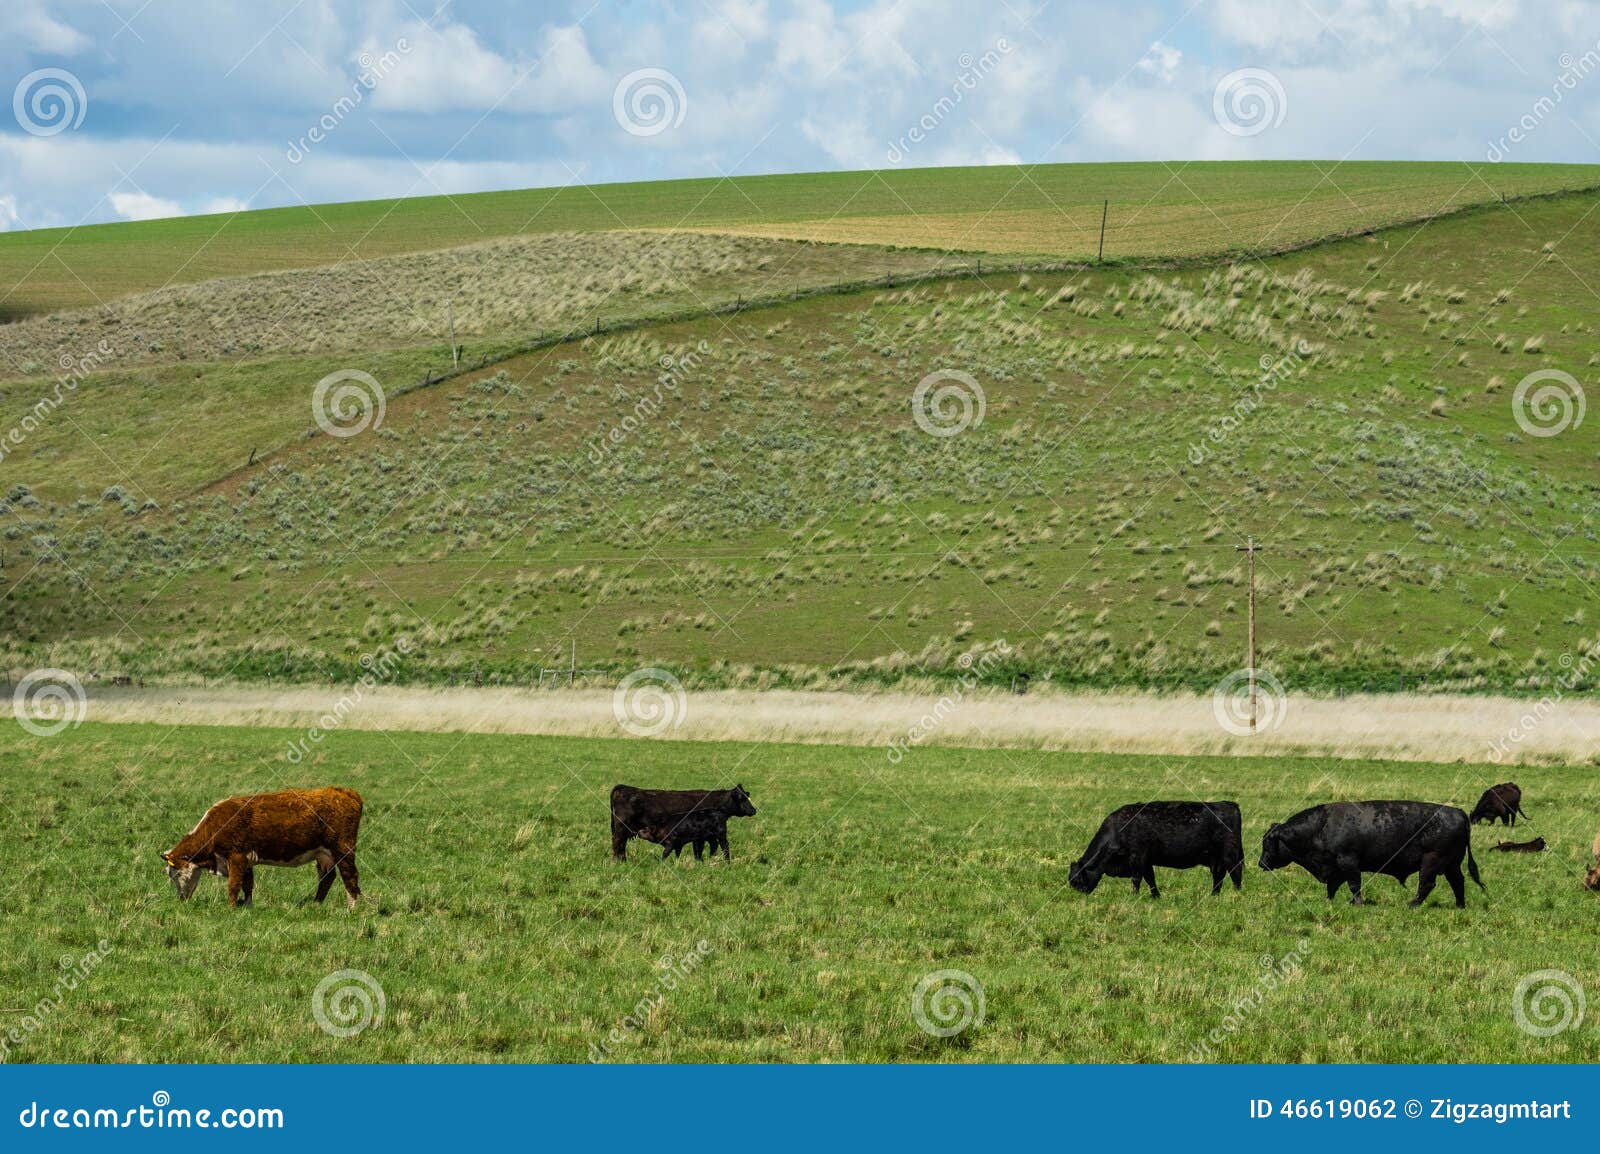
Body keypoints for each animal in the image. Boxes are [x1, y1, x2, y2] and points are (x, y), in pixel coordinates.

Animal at [162, 786, 364, 908]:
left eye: (176, 874)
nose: (181, 899)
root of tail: (346, 792)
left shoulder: (236, 857)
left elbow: (233, 885)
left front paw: (231, 908)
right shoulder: (246, 861)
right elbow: (247, 885)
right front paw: (248, 906)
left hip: (343, 849)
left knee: (350, 876)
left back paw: (352, 908)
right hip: (323, 855)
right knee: (327, 878)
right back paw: (316, 904)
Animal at [610, 784, 756, 861]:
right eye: (742, 798)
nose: (754, 810)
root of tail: (624, 788)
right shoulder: (700, 837)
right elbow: (699, 850)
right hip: (621, 830)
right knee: (618, 844)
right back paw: (620, 861)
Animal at [1068, 801, 1244, 898]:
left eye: (1077, 881)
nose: (1080, 895)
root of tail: (1229, 804)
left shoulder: (1137, 857)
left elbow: (1137, 879)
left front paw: (1134, 896)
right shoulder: (1146, 861)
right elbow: (1150, 878)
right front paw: (1156, 896)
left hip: (1231, 855)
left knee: (1235, 875)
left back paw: (1236, 895)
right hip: (1217, 860)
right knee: (1218, 877)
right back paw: (1213, 896)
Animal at [1259, 800, 1483, 907]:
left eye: (1268, 841)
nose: (1261, 863)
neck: (1321, 825)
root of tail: (1458, 812)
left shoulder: (1348, 862)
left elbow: (1353, 884)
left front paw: (1358, 902)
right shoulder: (1337, 868)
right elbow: (1334, 886)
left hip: (1431, 862)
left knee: (1427, 884)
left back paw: (1412, 904)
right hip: (1451, 865)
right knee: (1457, 882)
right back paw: (1459, 905)